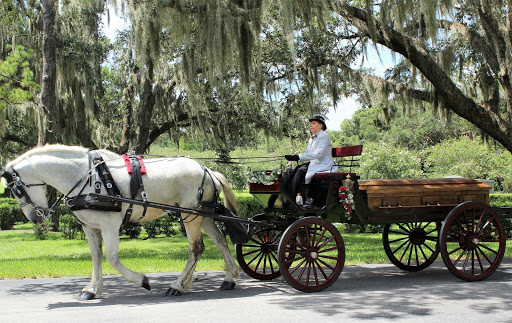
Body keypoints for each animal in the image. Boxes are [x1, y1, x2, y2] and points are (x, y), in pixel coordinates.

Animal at [1, 146, 241, 300]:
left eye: (16, 190)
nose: (36, 218)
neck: (89, 178)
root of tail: (207, 170)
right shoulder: (90, 227)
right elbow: (96, 256)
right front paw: (92, 289)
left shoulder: (110, 225)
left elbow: (112, 258)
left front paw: (142, 280)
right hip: (203, 214)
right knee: (220, 241)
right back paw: (226, 278)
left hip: (191, 215)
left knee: (196, 248)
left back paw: (177, 285)